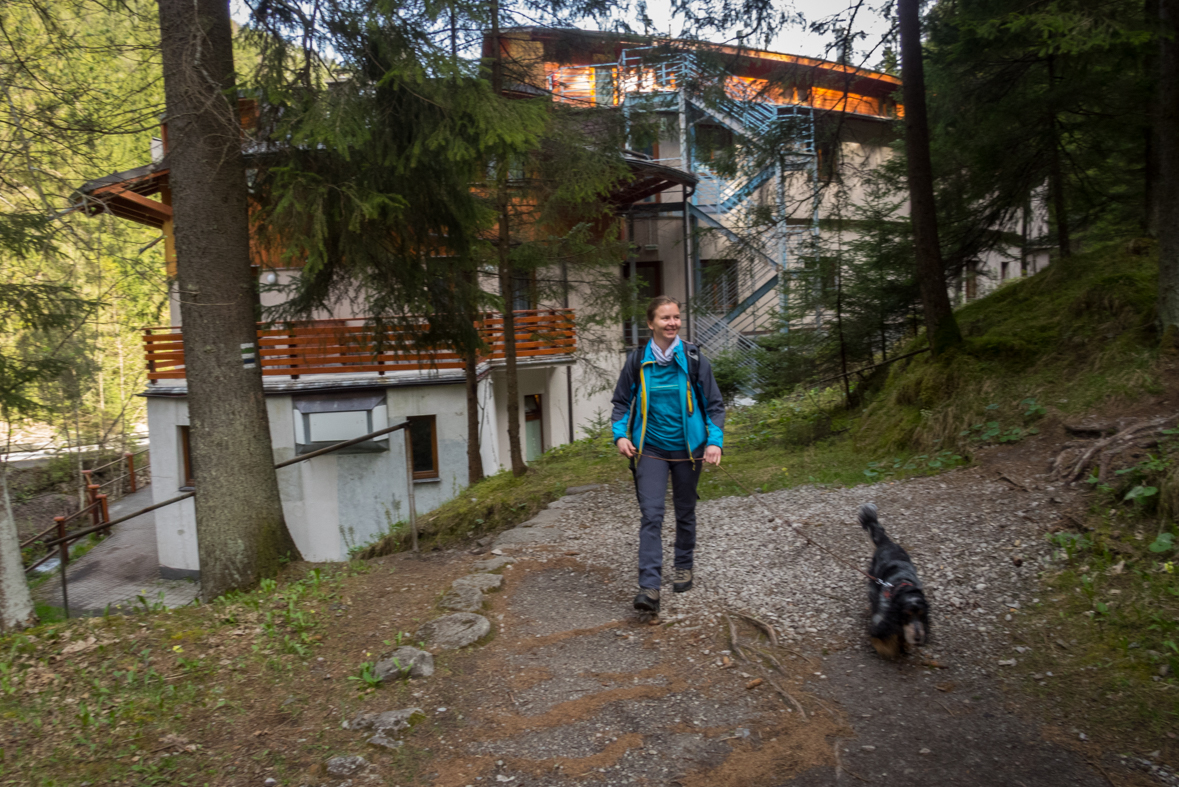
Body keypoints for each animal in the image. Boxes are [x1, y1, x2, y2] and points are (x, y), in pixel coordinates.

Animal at [858, 504, 929, 659]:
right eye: (906, 615)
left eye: (921, 615)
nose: (918, 638)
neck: (904, 585)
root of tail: (887, 543)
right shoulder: (883, 617)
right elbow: (883, 637)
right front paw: (889, 649)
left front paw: (906, 645)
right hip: (873, 583)